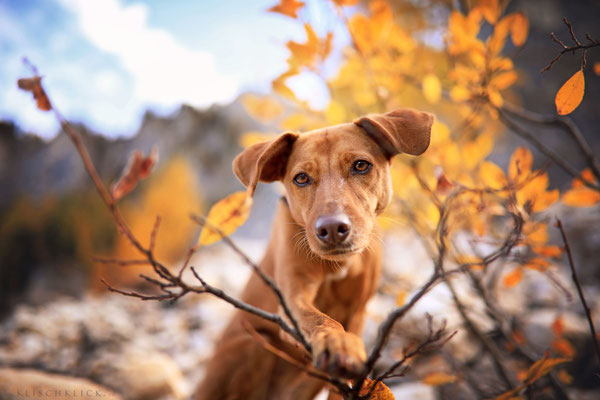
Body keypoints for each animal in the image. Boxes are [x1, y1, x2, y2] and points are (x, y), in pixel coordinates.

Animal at [195, 108, 434, 400]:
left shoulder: (358, 312)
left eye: (361, 165)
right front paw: (338, 343)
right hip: (253, 343)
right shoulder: (293, 299)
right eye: (301, 178)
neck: (339, 263)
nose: (331, 229)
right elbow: (322, 320)